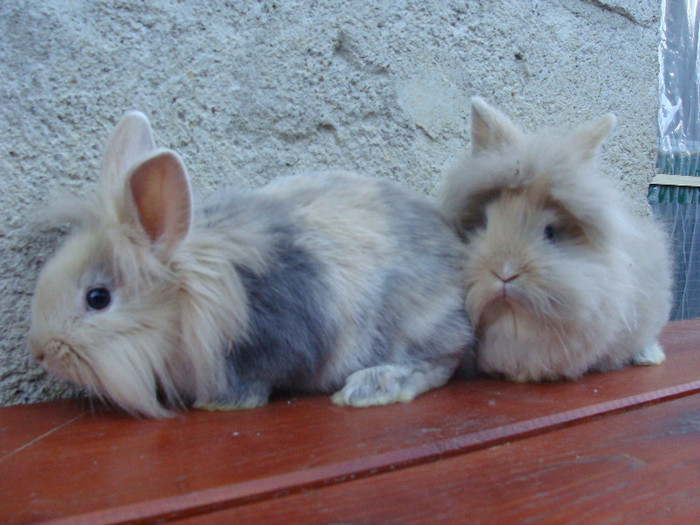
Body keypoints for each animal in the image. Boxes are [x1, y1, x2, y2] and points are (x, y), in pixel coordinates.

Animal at [27, 110, 476, 418]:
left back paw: (373, 387)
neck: (189, 299)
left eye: (97, 298)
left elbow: (257, 381)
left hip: (411, 324)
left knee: (443, 361)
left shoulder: (272, 340)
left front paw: (221, 404)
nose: (41, 353)